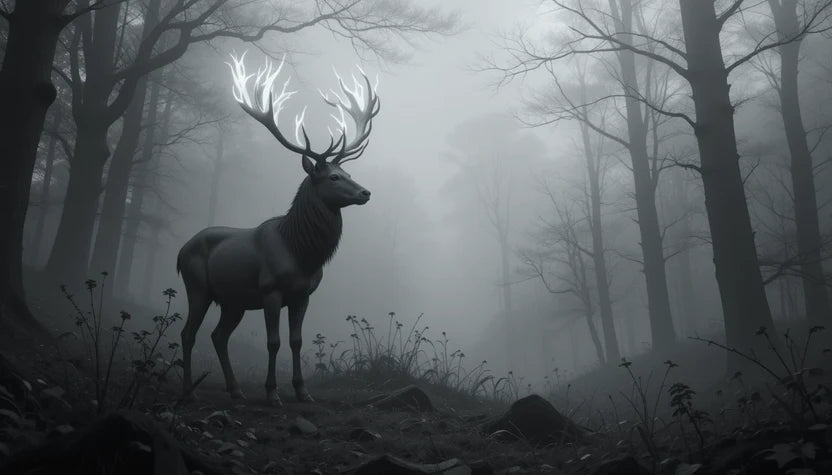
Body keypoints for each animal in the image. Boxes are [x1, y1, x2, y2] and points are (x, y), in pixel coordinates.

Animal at [176, 52, 380, 405]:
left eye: (348, 173)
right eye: (333, 177)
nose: (365, 192)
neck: (302, 254)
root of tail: (178, 253)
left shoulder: (303, 294)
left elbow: (296, 341)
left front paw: (302, 391)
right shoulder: (270, 289)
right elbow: (274, 342)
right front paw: (272, 393)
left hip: (233, 301)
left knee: (217, 335)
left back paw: (235, 389)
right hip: (197, 286)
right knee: (189, 333)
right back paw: (189, 390)